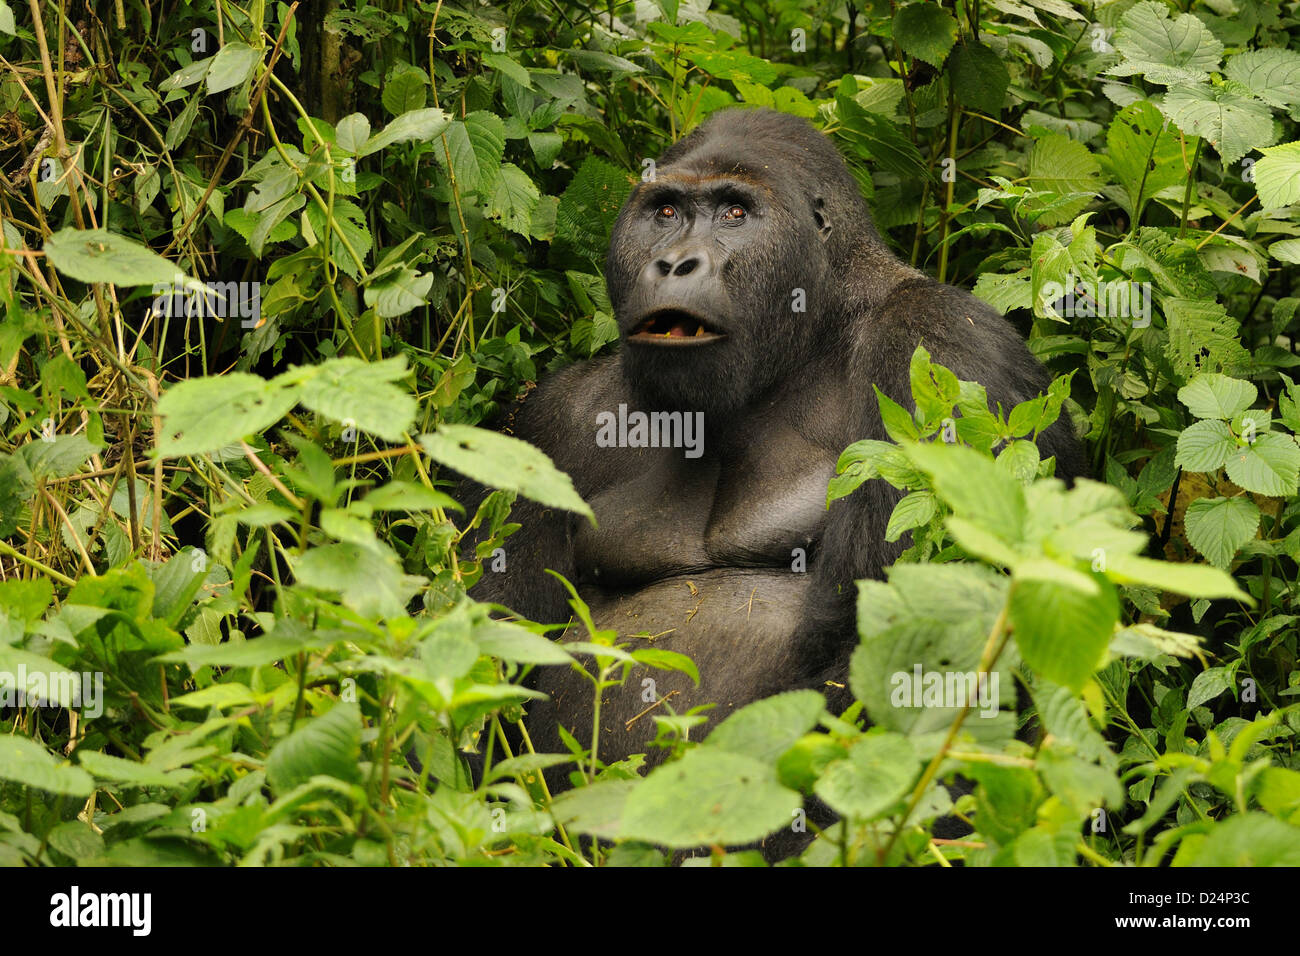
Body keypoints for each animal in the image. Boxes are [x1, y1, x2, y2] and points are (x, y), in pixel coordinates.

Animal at [473, 108, 1081, 816]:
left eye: (735, 213)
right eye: (666, 210)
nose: (674, 262)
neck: (813, 329)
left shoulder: (945, 345)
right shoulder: (550, 421)